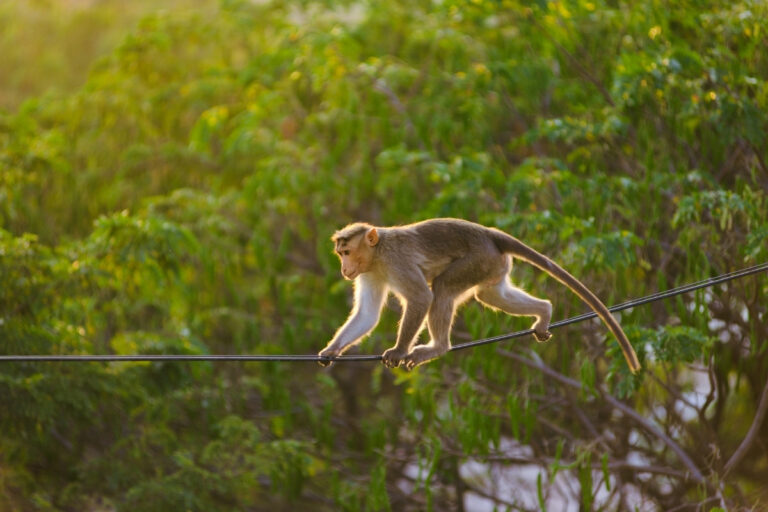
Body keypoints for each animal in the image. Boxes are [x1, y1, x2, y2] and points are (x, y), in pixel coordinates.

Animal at [318, 216, 640, 372]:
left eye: (346, 252)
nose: (344, 269)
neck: (377, 253)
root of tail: (489, 234)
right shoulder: (369, 272)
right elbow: (367, 315)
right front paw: (332, 350)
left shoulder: (396, 261)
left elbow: (421, 298)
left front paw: (398, 350)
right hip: (493, 265)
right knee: (490, 295)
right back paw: (544, 311)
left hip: (477, 259)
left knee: (443, 288)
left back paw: (438, 348)